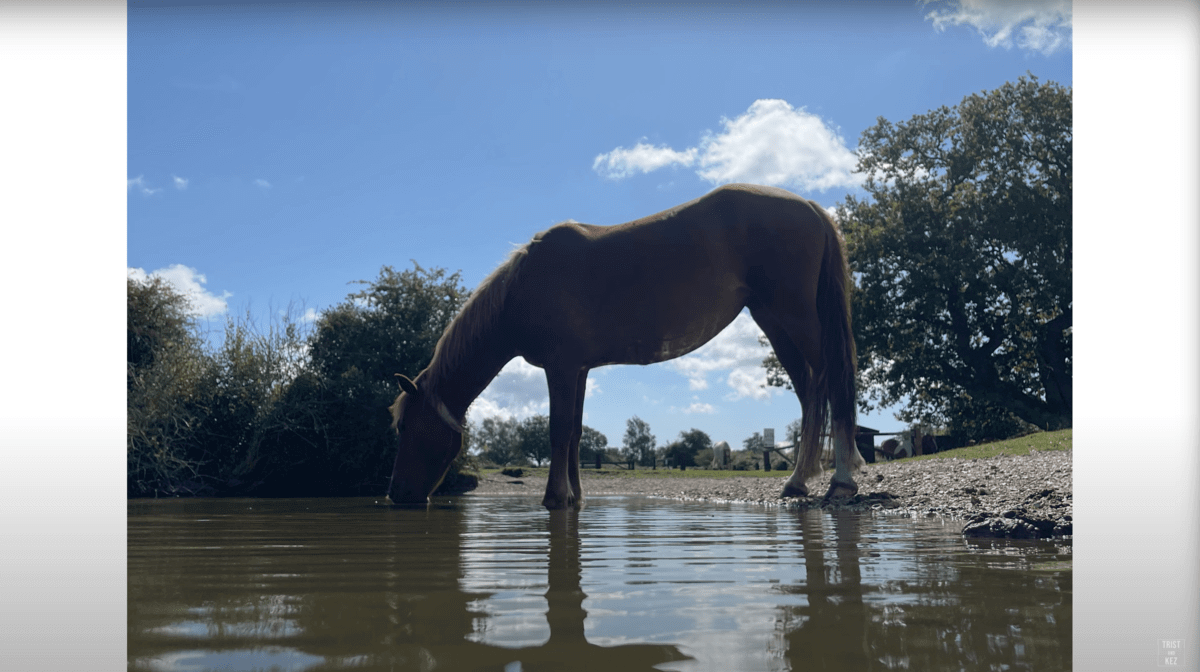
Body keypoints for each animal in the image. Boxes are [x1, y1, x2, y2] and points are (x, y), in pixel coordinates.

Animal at [386, 183, 864, 508]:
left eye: (404, 426)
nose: (395, 494)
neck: (522, 288)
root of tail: (809, 207)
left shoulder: (560, 368)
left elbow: (558, 430)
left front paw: (554, 498)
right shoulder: (578, 370)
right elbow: (575, 434)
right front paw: (574, 498)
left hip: (793, 315)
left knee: (834, 381)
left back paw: (842, 480)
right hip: (772, 319)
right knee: (810, 389)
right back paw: (797, 481)